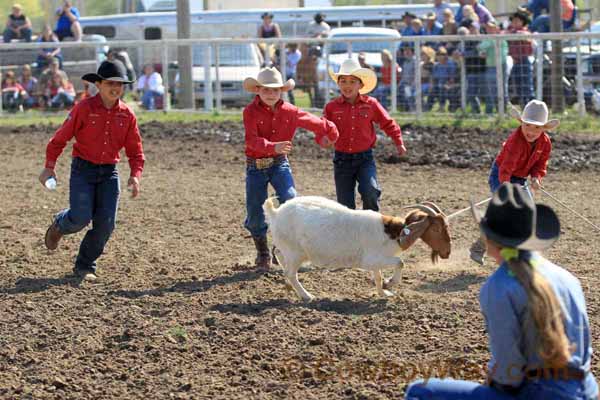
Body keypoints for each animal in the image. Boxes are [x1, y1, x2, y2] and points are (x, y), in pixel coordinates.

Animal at [262, 195, 450, 302]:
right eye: (436, 228)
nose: (447, 252)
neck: (393, 232)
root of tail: (275, 213)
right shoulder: (372, 259)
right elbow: (400, 263)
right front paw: (391, 283)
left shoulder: (376, 261)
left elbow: (378, 277)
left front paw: (384, 293)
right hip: (296, 253)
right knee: (290, 273)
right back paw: (306, 296)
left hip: (289, 249)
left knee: (279, 254)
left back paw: (288, 286)